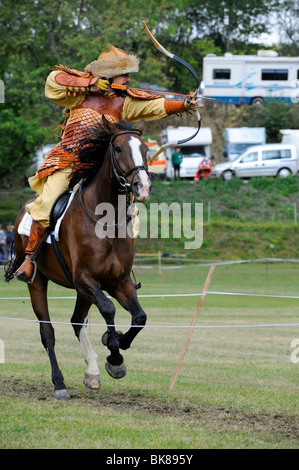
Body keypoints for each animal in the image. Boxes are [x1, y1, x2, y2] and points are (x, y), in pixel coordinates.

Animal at [5, 117, 152, 400]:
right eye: (118, 148)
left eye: (146, 149)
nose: (142, 187)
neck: (106, 220)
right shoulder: (85, 279)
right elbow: (108, 309)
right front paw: (114, 356)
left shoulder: (118, 282)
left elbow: (139, 317)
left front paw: (115, 346)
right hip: (37, 282)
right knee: (47, 332)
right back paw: (60, 383)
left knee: (76, 321)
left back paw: (92, 372)